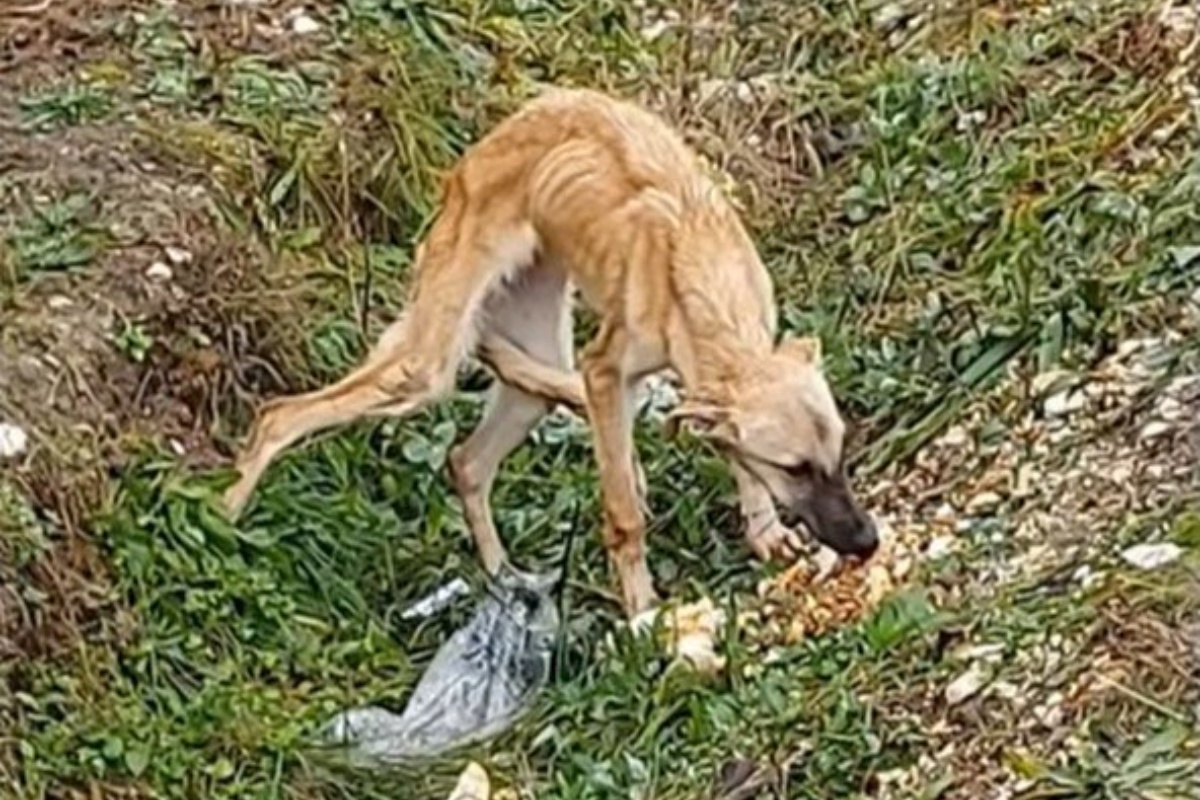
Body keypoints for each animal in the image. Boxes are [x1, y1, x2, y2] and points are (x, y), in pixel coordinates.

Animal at [220, 87, 878, 618]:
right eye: (796, 468)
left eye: (842, 453)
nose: (868, 542)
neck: (699, 262)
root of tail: (470, 162)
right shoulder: (606, 371)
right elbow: (623, 512)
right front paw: (641, 610)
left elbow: (731, 453)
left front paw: (763, 531)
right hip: (424, 367)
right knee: (279, 416)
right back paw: (221, 515)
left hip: (525, 371)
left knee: (467, 463)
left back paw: (504, 583)